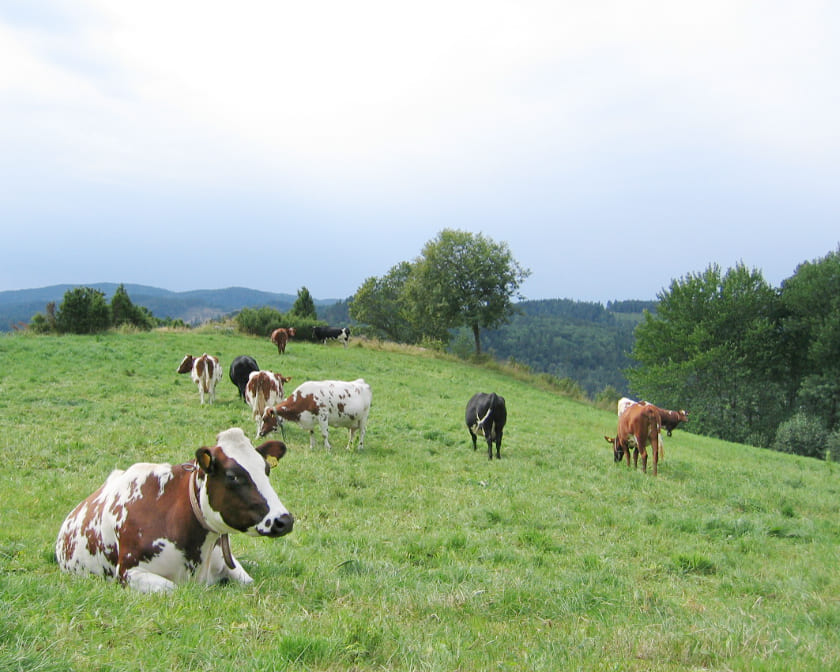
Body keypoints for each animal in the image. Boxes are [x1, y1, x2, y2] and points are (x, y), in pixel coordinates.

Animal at [55, 428, 292, 592]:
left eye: (266, 469)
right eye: (232, 476)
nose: (284, 520)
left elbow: (248, 580)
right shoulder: (129, 572)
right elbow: (172, 589)